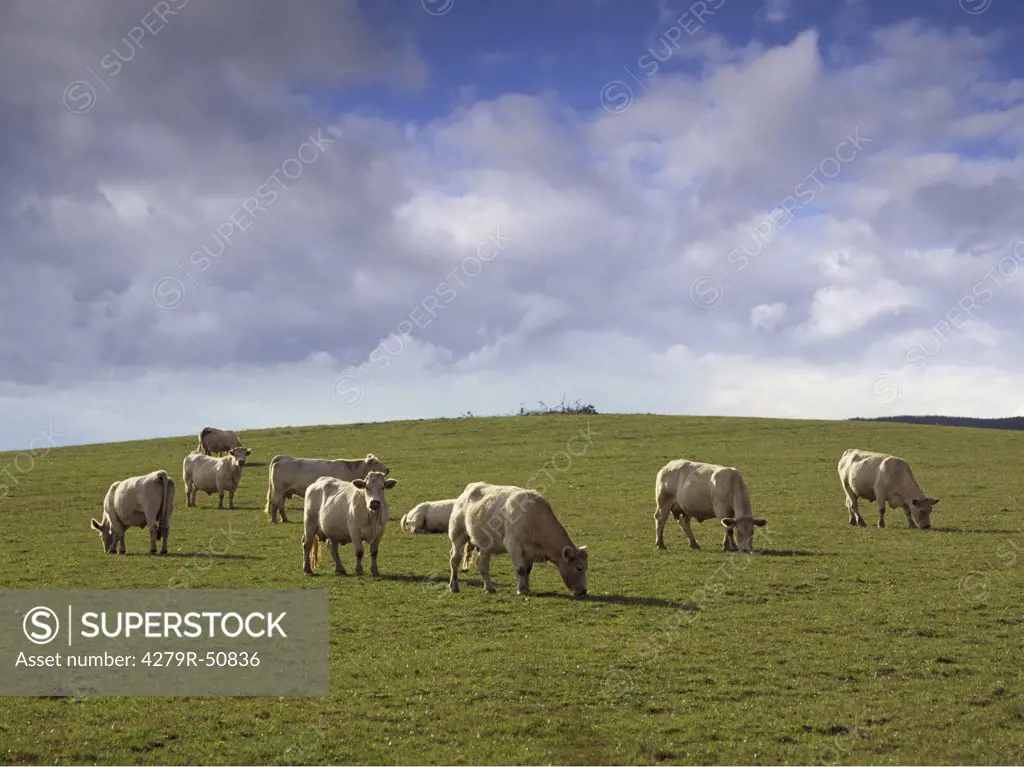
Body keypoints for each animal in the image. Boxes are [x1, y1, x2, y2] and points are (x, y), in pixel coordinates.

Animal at [446, 481, 589, 593]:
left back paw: (489, 587)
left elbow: (527, 570)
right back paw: (454, 586)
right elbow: (520, 569)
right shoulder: (513, 545)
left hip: (486, 545)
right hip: (458, 536)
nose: (583, 591)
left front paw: (526, 588)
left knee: (482, 563)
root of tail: (469, 489)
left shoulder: (529, 551)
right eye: (579, 568)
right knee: (455, 560)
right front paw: (521, 590)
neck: (534, 518)